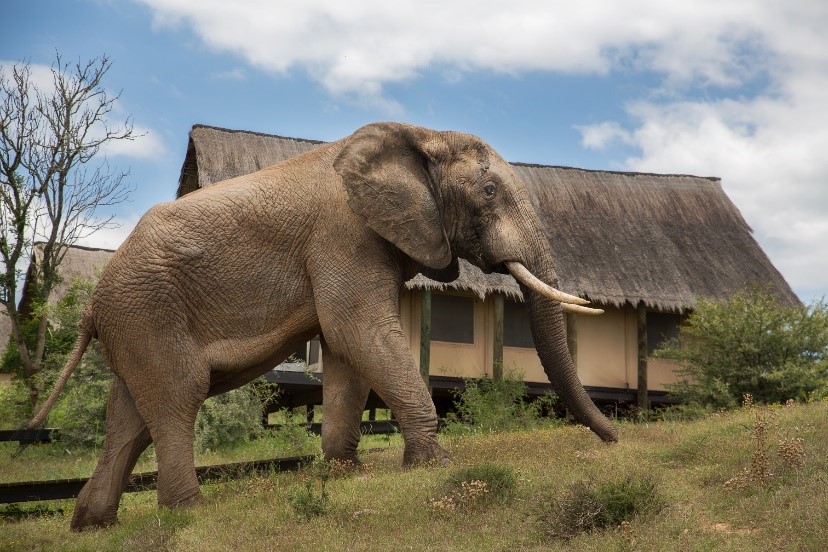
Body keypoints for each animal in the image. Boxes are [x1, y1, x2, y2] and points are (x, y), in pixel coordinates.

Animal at [27, 122, 616, 532]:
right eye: (489, 193)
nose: (614, 439)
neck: (421, 134)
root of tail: (92, 302)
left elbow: (344, 348)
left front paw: (344, 473)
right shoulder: (346, 236)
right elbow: (358, 329)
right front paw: (435, 464)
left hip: (135, 322)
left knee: (129, 416)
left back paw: (92, 525)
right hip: (148, 311)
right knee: (176, 397)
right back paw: (189, 512)